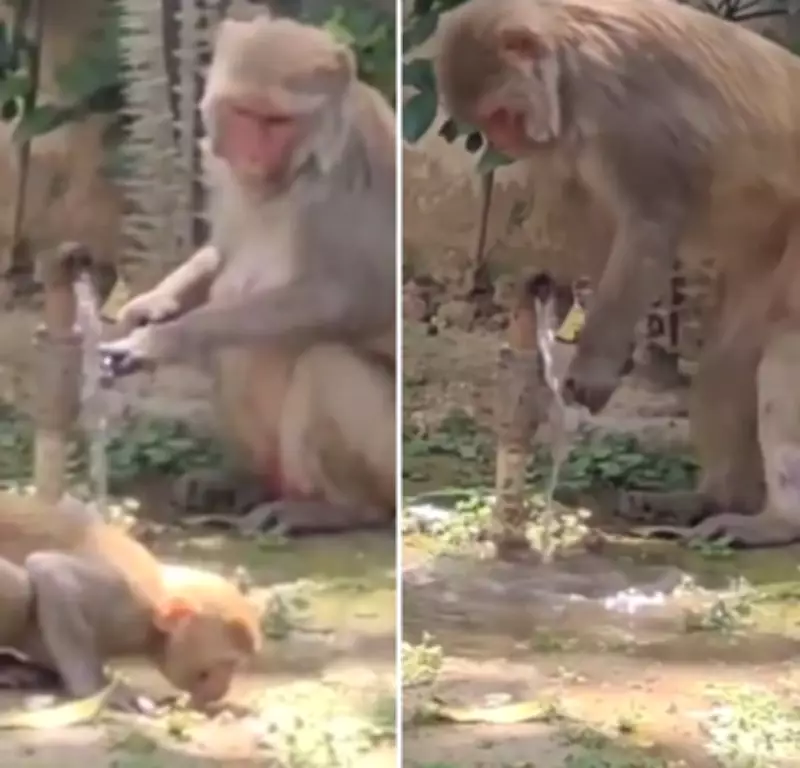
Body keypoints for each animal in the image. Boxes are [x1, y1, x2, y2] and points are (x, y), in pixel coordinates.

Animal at [0, 491, 262, 710]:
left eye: (236, 666)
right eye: (227, 663)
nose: (223, 688)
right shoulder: (124, 600)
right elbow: (50, 573)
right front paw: (100, 690)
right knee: (19, 586)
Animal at [98, 14, 396, 537]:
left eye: (277, 122)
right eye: (242, 113)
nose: (253, 157)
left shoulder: (354, 168)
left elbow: (353, 296)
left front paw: (167, 339)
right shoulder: (221, 164)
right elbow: (222, 249)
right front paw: (151, 305)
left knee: (324, 363)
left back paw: (339, 510)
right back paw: (243, 482)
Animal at [432, 0, 800, 546]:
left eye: (499, 117)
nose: (504, 143)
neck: (568, 68)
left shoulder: (622, 107)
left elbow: (649, 223)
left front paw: (593, 368)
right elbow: (596, 222)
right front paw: (559, 310)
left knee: (783, 344)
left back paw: (777, 521)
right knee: (727, 364)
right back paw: (712, 499)